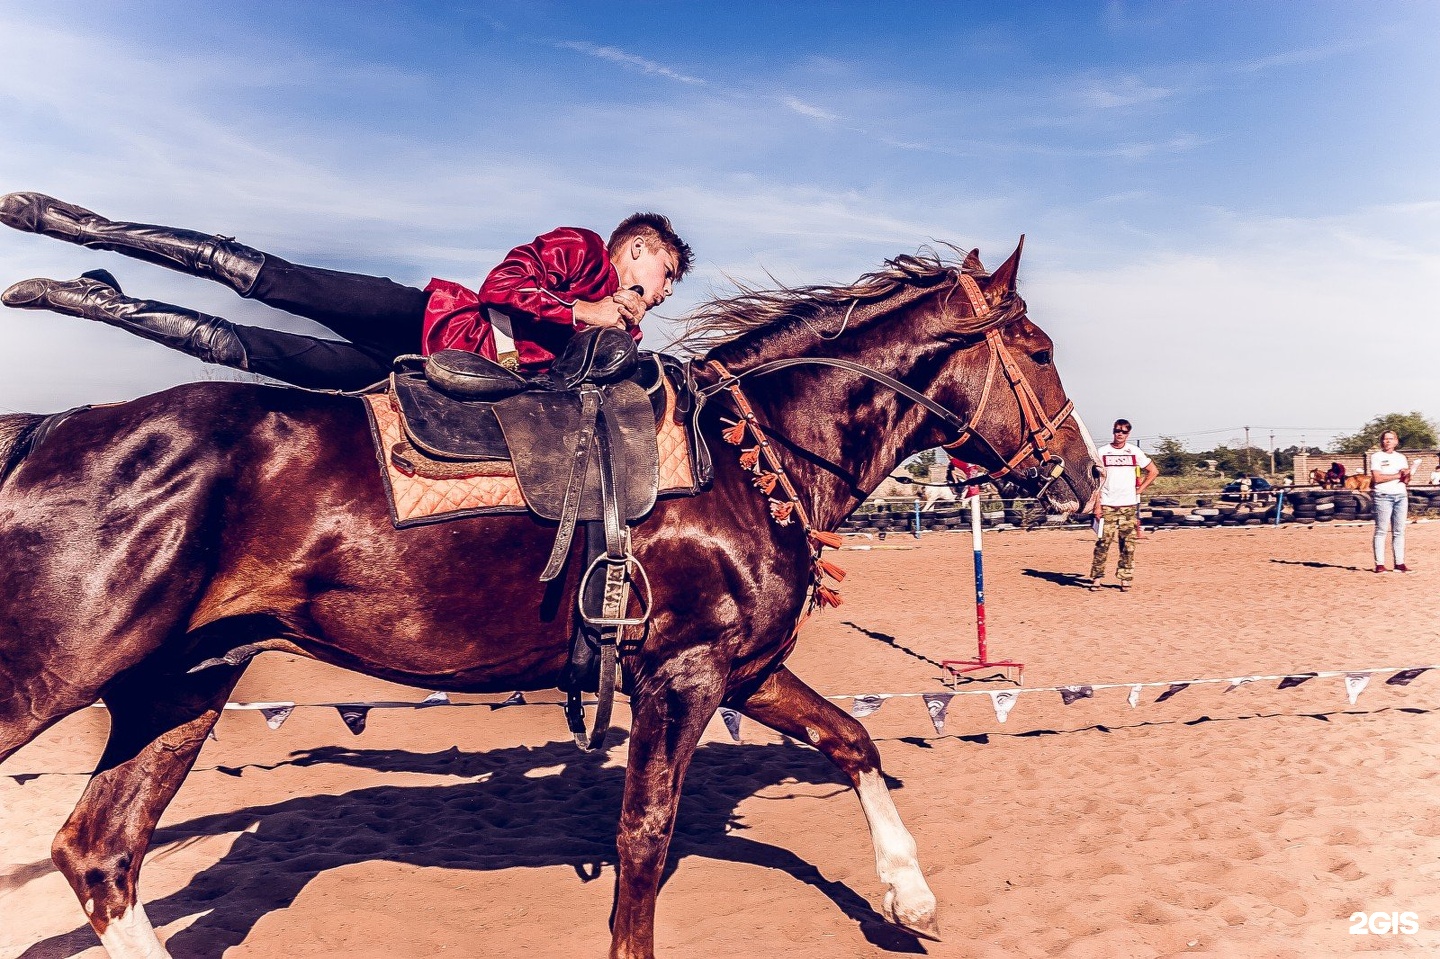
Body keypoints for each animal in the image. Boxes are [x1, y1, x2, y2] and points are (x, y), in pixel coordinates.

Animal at [0, 239, 1088, 956]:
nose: (1077, 474)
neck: (749, 454)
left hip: (181, 682)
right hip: (57, 672)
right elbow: (644, 836)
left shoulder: (741, 667)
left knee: (100, 852)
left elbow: (853, 740)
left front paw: (910, 894)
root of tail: (52, 428)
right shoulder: (682, 673)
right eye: (1036, 349)